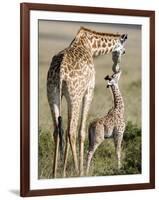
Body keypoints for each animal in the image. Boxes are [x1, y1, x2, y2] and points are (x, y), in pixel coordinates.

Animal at [46, 27, 127, 178]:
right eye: (123, 52)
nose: (117, 69)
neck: (90, 45)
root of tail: (60, 71)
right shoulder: (89, 91)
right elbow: (82, 132)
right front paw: (81, 170)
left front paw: (64, 169)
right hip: (75, 96)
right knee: (71, 131)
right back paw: (78, 170)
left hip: (52, 94)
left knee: (57, 131)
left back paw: (55, 173)